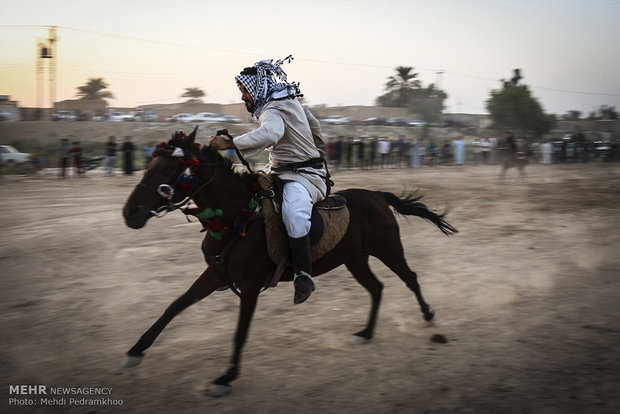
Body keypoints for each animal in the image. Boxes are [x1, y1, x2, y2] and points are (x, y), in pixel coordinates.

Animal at [123, 128, 458, 396]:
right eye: (149, 165)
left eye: (170, 168)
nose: (130, 213)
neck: (238, 216)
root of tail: (377, 195)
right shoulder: (216, 273)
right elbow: (175, 305)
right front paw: (137, 349)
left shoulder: (250, 285)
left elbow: (240, 332)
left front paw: (227, 377)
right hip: (356, 259)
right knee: (376, 288)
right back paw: (365, 333)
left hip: (388, 249)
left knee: (410, 277)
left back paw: (428, 315)